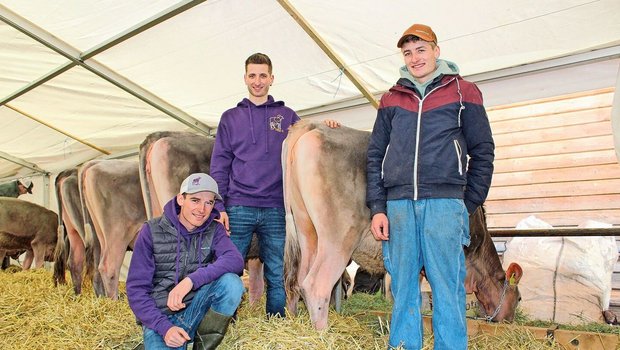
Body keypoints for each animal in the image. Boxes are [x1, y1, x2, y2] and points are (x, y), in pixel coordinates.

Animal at [284, 121, 524, 330]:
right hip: (338, 236)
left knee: (297, 280)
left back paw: (295, 321)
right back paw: (322, 332)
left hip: (306, 229)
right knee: (316, 285)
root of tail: (313, 126)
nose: (511, 321)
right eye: (519, 298)